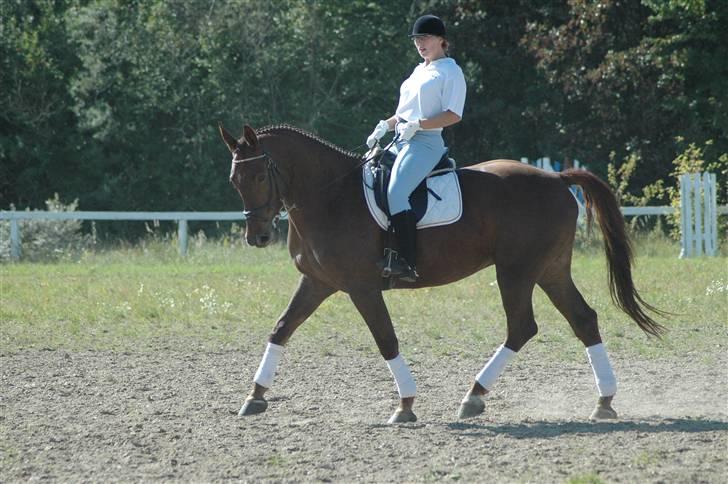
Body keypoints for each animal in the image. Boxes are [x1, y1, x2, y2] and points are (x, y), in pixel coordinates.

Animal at [218, 122, 664, 424]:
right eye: (233, 179)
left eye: (258, 175)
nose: (257, 236)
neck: (329, 197)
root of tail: (556, 177)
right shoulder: (317, 282)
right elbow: (281, 329)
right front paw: (255, 396)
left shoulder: (362, 288)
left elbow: (386, 340)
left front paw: (405, 405)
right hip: (550, 270)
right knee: (583, 319)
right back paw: (603, 402)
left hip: (517, 270)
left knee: (522, 327)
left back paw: (474, 396)